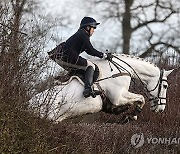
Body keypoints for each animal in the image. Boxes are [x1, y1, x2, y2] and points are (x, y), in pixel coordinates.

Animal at [29, 54, 173, 122]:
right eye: (165, 86)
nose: (161, 109)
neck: (122, 70)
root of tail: (27, 104)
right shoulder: (117, 97)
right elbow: (141, 98)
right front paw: (132, 116)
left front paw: (126, 112)